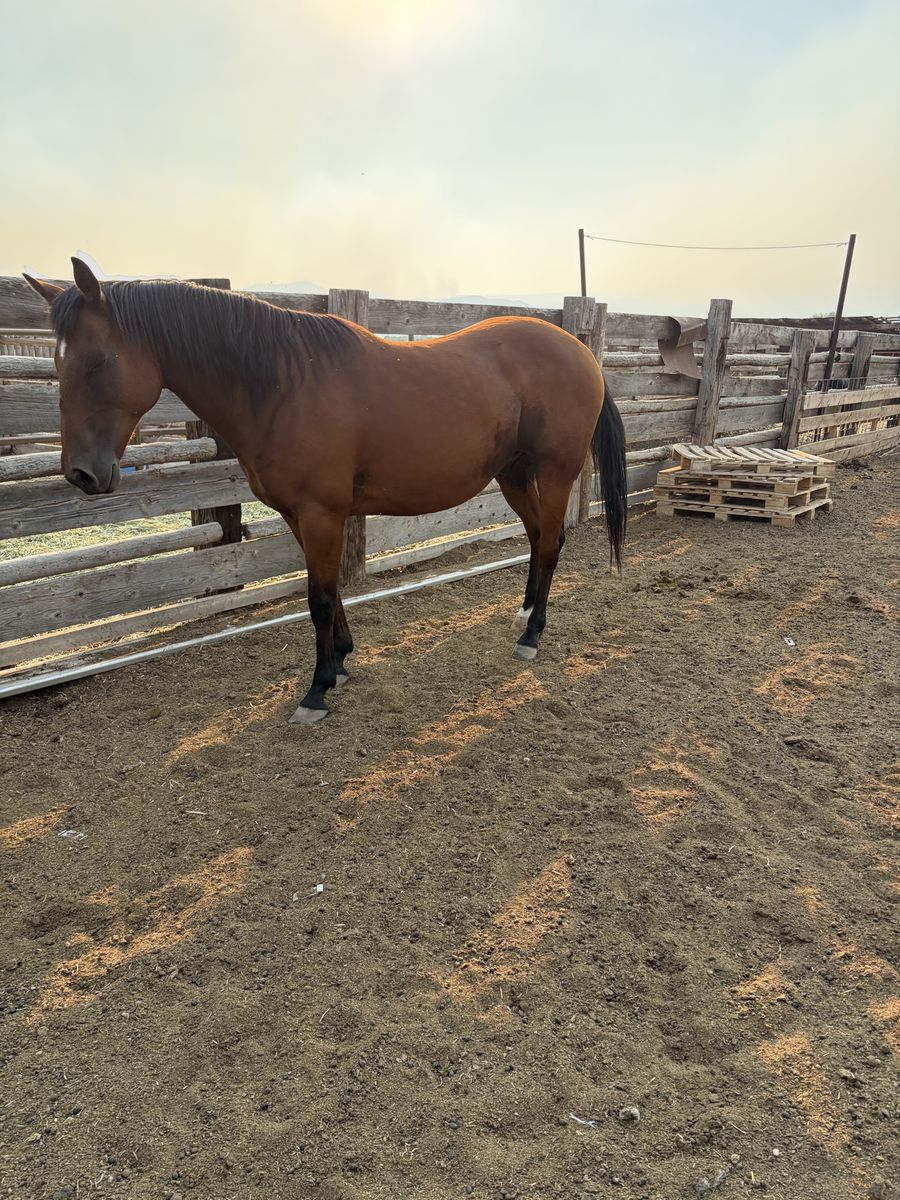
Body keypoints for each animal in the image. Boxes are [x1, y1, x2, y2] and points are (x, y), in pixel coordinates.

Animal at [24, 257, 627, 724]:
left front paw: (316, 691)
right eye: (55, 363)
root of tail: (580, 351)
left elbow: (316, 599)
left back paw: (532, 637)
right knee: (538, 539)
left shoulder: (321, 513)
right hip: (514, 474)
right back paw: (523, 616)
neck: (282, 385)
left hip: (554, 473)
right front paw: (339, 662)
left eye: (97, 361)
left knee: (550, 544)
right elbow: (329, 590)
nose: (81, 474)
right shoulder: (301, 516)